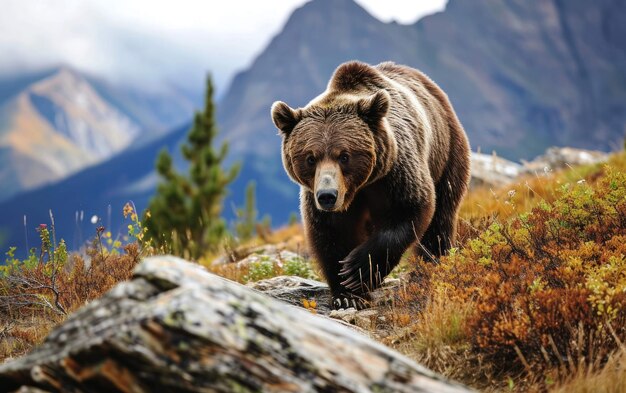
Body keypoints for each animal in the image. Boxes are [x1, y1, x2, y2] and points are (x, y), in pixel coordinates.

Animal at [270, 60, 468, 310]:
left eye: (344, 155)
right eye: (310, 157)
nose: (327, 195)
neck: (360, 186)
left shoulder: (396, 172)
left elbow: (410, 209)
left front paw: (358, 269)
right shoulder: (319, 197)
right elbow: (332, 234)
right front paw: (347, 294)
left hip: (447, 153)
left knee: (440, 219)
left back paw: (432, 265)